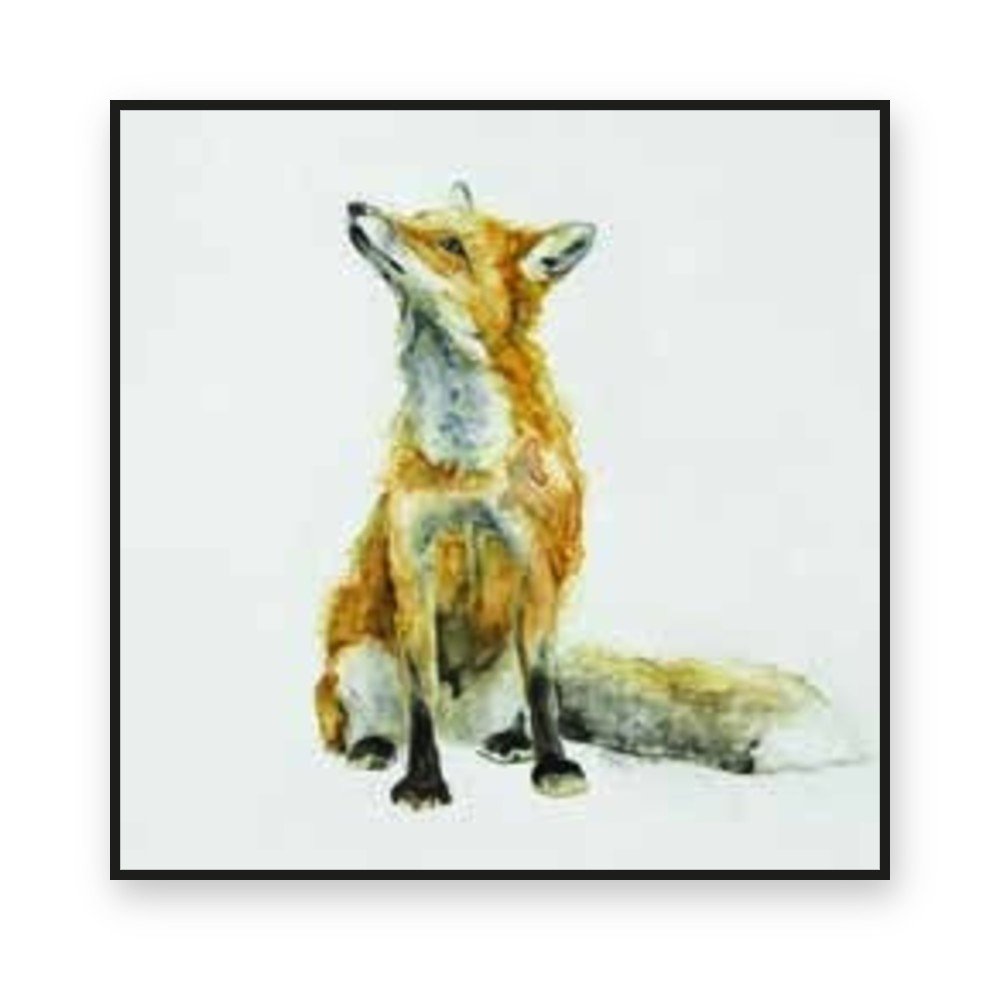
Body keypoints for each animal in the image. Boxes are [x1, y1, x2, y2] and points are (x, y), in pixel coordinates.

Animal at [315, 181, 856, 809]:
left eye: (449, 243)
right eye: (418, 216)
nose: (356, 206)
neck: (468, 462)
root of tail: (462, 723)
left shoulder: (536, 564)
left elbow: (543, 690)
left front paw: (553, 765)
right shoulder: (413, 565)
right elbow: (420, 695)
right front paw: (424, 780)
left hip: (502, 669)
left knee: (523, 704)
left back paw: (510, 742)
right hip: (358, 661)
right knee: (376, 718)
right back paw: (373, 745)